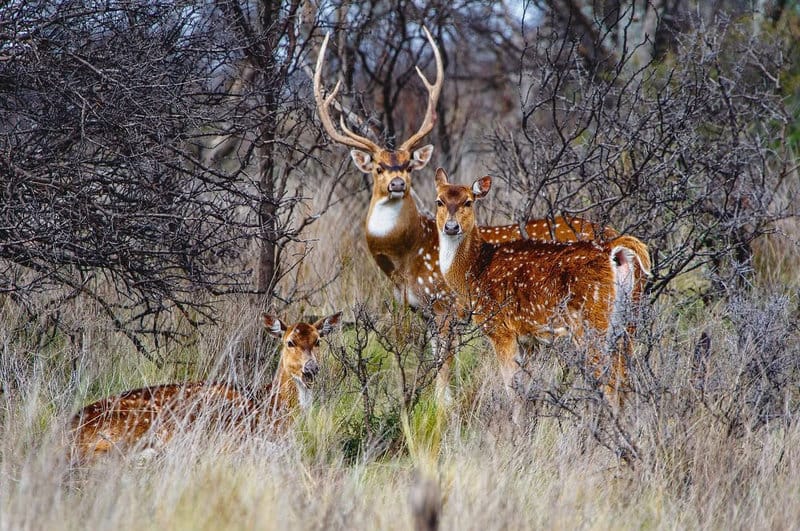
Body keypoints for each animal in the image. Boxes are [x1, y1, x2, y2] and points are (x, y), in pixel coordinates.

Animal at [313, 27, 616, 401]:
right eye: (380, 167)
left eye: (409, 164)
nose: (397, 183)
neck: (406, 261)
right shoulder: (422, 311)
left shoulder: (444, 305)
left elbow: (443, 373)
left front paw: (441, 408)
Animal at [433, 168, 651, 401]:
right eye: (439, 201)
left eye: (468, 202)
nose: (451, 227)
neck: (476, 271)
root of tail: (614, 250)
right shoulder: (529, 339)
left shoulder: (500, 328)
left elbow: (512, 390)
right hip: (629, 319)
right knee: (625, 375)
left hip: (593, 320)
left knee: (610, 380)